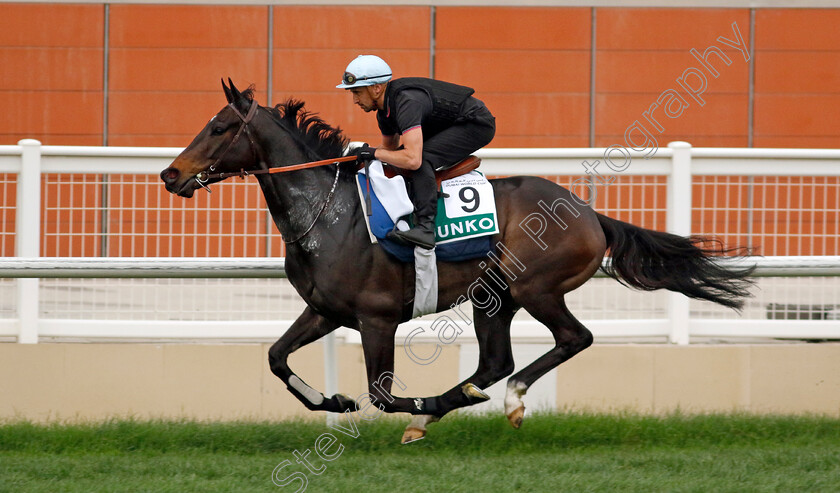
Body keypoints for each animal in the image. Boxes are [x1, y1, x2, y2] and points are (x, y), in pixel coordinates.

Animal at [161, 80, 752, 442]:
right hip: (495, 298)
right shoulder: (326, 311)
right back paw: (461, 397)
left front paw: (407, 408)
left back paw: (501, 401)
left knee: (571, 340)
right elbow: (277, 358)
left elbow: (384, 395)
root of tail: (591, 214)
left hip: (535, 287)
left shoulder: (377, 317)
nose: (170, 174)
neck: (329, 213)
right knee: (495, 362)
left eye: (219, 128)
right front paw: (333, 401)